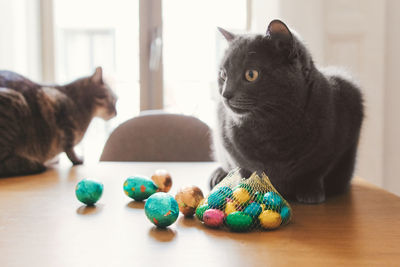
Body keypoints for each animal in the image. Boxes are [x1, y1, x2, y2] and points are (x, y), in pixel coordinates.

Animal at [211, 19, 364, 204]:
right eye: (223, 75)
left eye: (251, 74)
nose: (225, 94)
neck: (270, 125)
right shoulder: (225, 139)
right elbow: (244, 167)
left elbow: (317, 170)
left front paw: (310, 191)